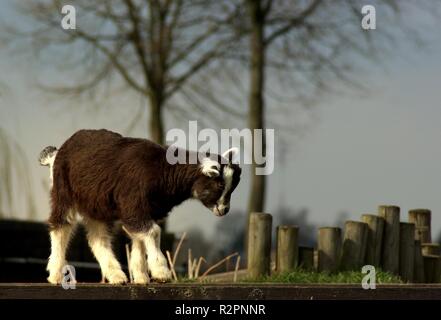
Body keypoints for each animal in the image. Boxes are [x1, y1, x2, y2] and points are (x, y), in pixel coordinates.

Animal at [39, 129, 241, 284]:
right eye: (219, 185)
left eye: (234, 187)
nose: (224, 210)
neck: (163, 170)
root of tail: (57, 153)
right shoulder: (134, 204)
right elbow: (153, 232)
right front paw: (161, 272)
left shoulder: (147, 210)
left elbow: (139, 237)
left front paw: (141, 277)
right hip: (63, 192)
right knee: (60, 227)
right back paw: (56, 275)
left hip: (97, 205)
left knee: (98, 238)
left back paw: (116, 276)